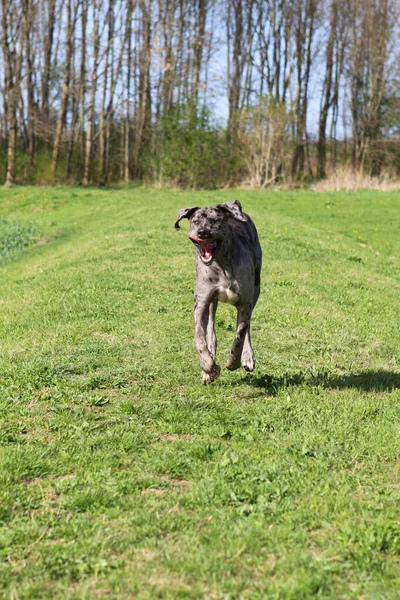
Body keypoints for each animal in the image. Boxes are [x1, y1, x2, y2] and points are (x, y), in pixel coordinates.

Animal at [175, 199, 262, 382]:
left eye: (216, 220)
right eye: (195, 221)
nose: (202, 232)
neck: (222, 264)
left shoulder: (245, 303)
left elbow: (240, 335)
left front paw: (234, 362)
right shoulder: (201, 302)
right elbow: (199, 337)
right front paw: (208, 366)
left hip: (256, 289)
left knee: (247, 327)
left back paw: (248, 356)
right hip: (211, 304)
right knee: (211, 332)